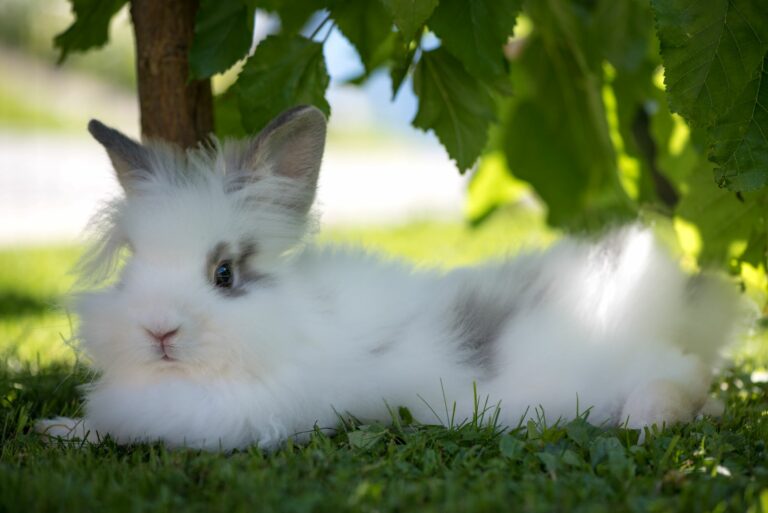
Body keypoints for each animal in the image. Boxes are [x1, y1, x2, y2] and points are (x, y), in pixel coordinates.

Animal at [37, 106, 744, 450]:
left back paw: (647, 421)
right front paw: (60, 430)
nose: (159, 332)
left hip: (636, 366)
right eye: (133, 264)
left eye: (224, 273)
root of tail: (673, 298)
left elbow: (140, 431)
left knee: (683, 378)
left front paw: (63, 433)